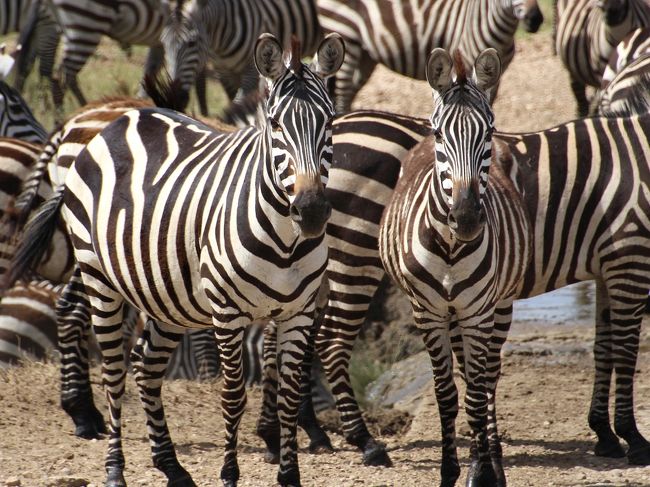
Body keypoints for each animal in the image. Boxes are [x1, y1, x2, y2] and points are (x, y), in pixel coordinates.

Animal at [3, 34, 344, 487]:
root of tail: (118, 120)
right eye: (274, 125)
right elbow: (232, 395)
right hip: (99, 276)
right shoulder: (226, 313)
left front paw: (289, 475)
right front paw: (230, 473)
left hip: (162, 292)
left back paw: (172, 467)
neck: (286, 242)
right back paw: (112, 465)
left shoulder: (299, 311)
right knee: (113, 371)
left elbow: (288, 394)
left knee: (145, 365)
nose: (311, 211)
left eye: (330, 122)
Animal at [160, 0, 322, 115]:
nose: (171, 98)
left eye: (192, 43)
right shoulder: (223, 70)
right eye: (164, 43)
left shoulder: (252, 70)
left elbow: (239, 101)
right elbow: (233, 100)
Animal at [316, 0, 540, 111]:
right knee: (342, 96)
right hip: (345, 35)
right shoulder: (462, 66)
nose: (535, 20)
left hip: (365, 55)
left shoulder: (496, 77)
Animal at [378, 47, 528, 486]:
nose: (465, 218)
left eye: (488, 132)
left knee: (488, 378)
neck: (449, 247)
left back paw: (494, 460)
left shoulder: (479, 312)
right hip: (453, 314)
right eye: (441, 134)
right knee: (467, 374)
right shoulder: (426, 313)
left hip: (498, 305)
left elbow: (477, 394)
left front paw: (481, 472)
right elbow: (447, 394)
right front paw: (450, 470)